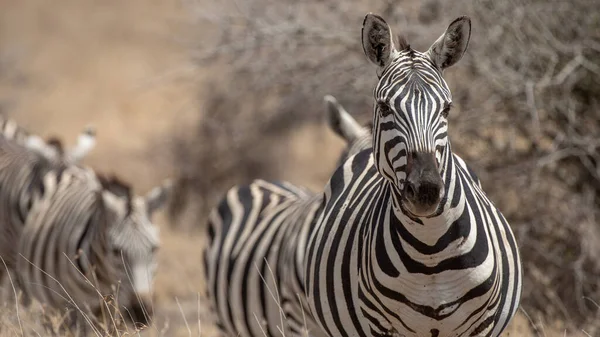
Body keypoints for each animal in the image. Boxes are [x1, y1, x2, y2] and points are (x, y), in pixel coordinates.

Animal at [304, 13, 520, 336]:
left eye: (447, 108)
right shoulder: (379, 325)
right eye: (384, 107)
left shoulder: (482, 324)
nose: (426, 190)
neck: (430, 249)